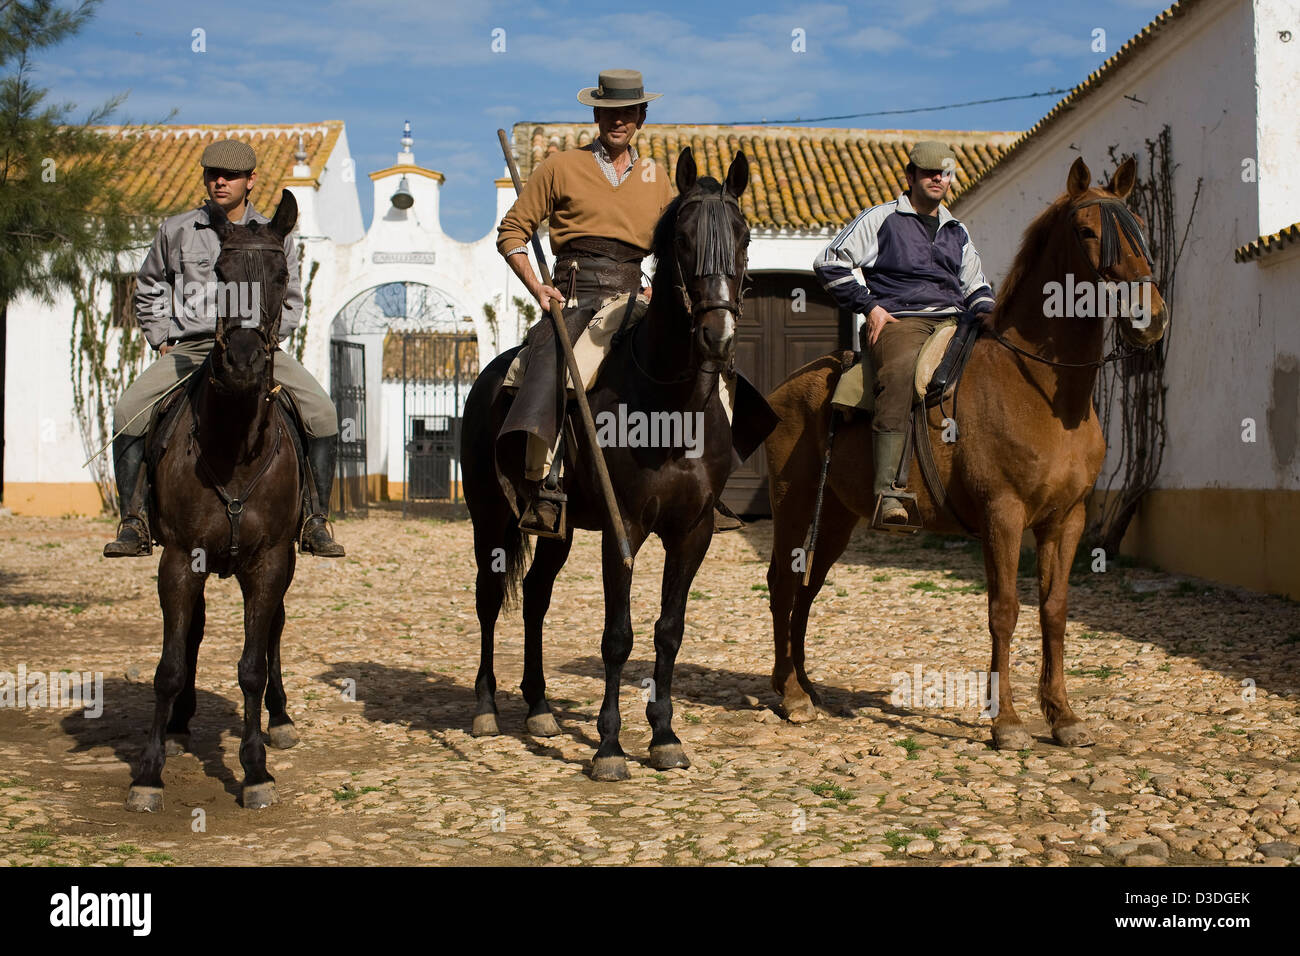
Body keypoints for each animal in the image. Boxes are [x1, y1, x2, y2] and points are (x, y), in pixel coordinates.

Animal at [129, 191, 306, 811]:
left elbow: (253, 664)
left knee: (274, 631)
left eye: (282, 277)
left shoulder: (271, 561)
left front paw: (254, 771)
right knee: (194, 633)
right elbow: (169, 664)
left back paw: (280, 720)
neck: (233, 447)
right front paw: (148, 772)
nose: (244, 363)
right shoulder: (180, 559)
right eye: (220, 274)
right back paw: (181, 720)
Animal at [462, 147, 759, 780]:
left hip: (558, 527)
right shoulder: (626, 528)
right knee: (489, 597)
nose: (717, 335)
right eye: (684, 238)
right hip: (490, 519)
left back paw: (540, 708)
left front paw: (665, 734)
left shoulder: (692, 532)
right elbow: (617, 636)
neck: (670, 404)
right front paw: (609, 746)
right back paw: (485, 709)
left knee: (537, 599)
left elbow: (669, 631)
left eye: (744, 234)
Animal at [759, 158, 1170, 754]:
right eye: (1086, 231)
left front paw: (1062, 715)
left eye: (1138, 225)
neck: (1041, 387)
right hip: (793, 506)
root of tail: (788, 385)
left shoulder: (1066, 519)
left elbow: (1054, 611)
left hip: (836, 515)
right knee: (784, 584)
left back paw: (804, 684)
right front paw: (1008, 722)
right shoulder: (1004, 515)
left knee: (808, 589)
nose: (1149, 319)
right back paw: (789, 695)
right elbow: (1004, 611)